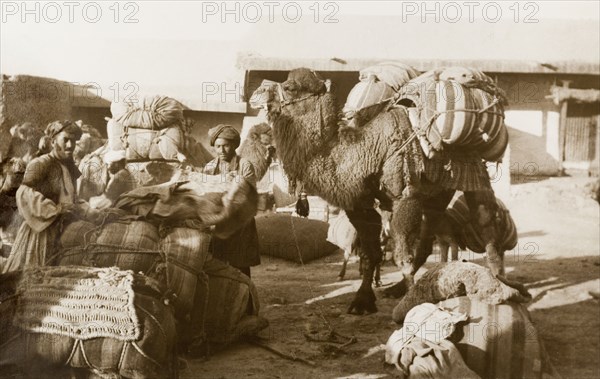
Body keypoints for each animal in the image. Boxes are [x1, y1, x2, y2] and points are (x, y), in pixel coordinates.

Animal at [250, 68, 496, 314]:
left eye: (290, 87)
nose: (256, 92)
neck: (365, 150)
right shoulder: (359, 205)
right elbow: (370, 253)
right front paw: (362, 301)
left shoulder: (405, 195)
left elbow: (402, 257)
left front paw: (406, 309)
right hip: (438, 193)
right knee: (428, 239)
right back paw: (397, 289)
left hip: (475, 175)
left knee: (486, 224)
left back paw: (496, 283)